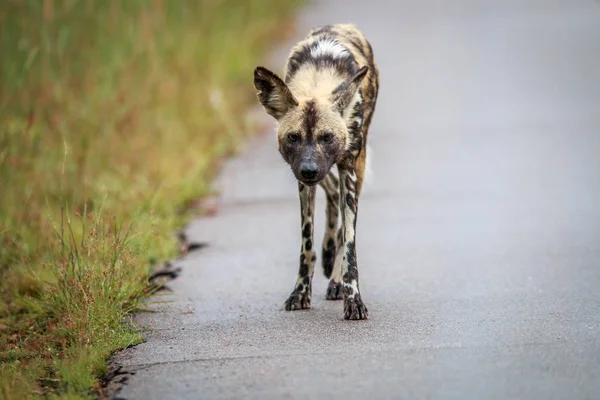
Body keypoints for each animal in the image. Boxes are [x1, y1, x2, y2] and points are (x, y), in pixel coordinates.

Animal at [254, 24, 380, 318]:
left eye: (327, 137)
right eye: (293, 137)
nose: (309, 169)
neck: (318, 80)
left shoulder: (347, 168)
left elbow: (350, 247)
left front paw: (353, 299)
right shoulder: (302, 180)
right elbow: (307, 246)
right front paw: (300, 293)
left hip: (355, 166)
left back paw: (335, 280)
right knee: (331, 193)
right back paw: (328, 253)